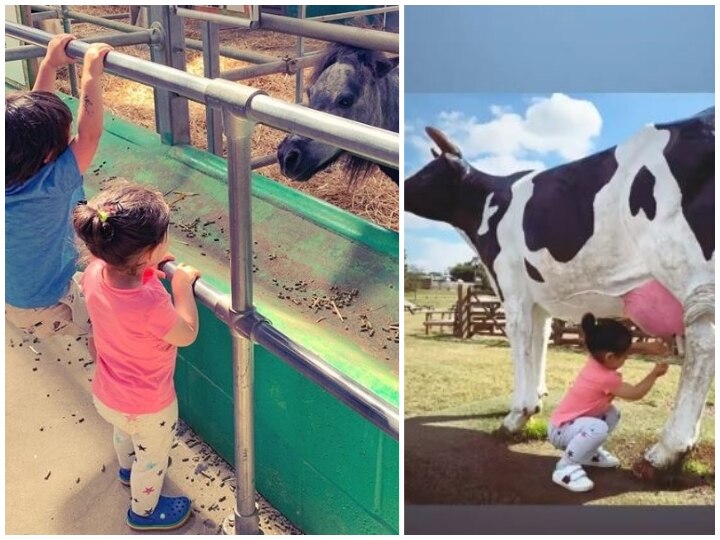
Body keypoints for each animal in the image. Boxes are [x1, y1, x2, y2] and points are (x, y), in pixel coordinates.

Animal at [404, 107, 716, 470]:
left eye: (427, 173)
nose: (404, 188)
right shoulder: (537, 297)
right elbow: (539, 341)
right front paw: (537, 398)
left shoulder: (513, 292)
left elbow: (521, 344)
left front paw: (518, 414)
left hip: (686, 269)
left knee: (704, 345)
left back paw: (667, 449)